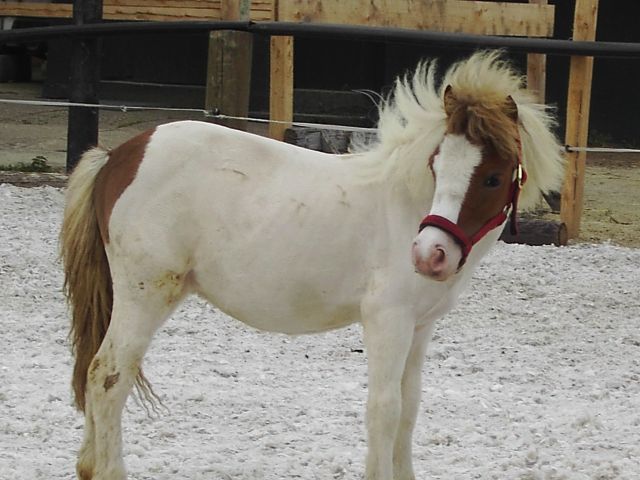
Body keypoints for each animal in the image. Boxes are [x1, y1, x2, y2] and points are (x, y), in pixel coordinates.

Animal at [60, 50, 564, 480]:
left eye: (492, 177)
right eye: (437, 166)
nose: (428, 254)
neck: (404, 203)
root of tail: (117, 157)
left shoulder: (420, 326)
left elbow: (410, 406)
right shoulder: (387, 321)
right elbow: (384, 410)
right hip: (145, 295)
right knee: (107, 377)